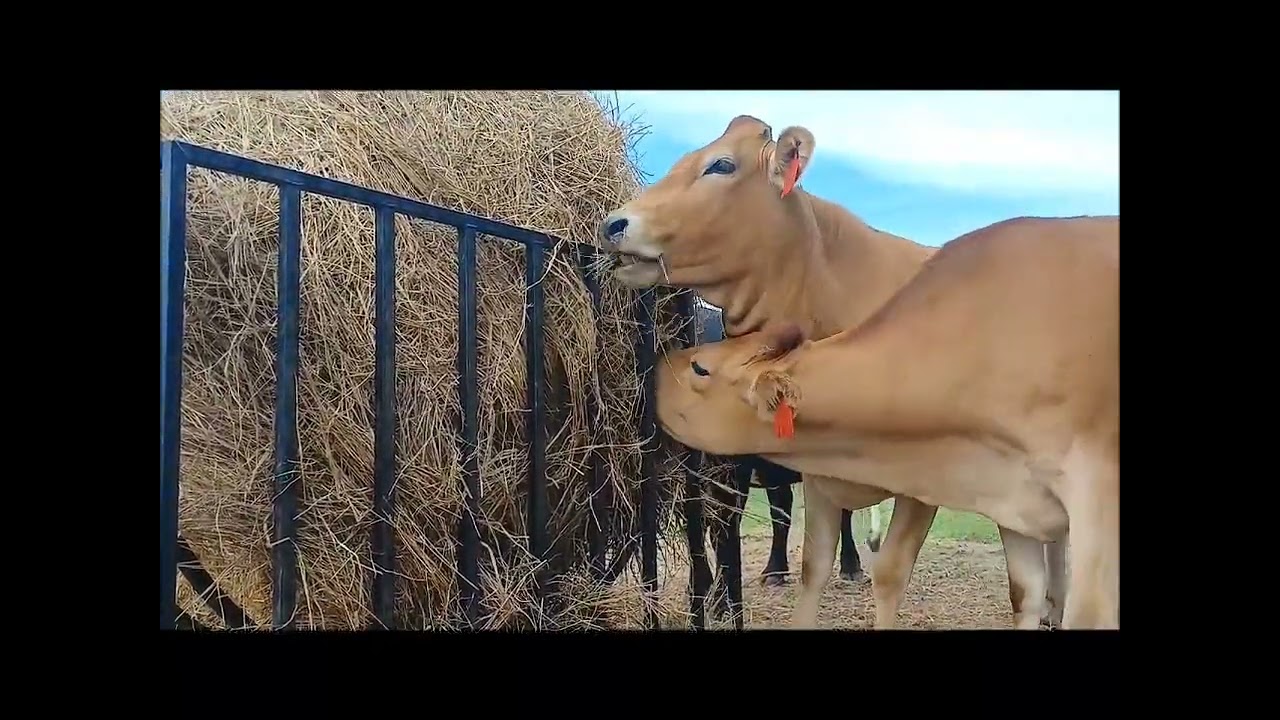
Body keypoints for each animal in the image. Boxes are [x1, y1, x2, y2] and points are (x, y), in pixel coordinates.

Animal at [600, 114, 1067, 629]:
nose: (612, 223)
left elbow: (890, 573)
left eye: (721, 164)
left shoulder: (924, 482)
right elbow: (813, 564)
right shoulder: (814, 467)